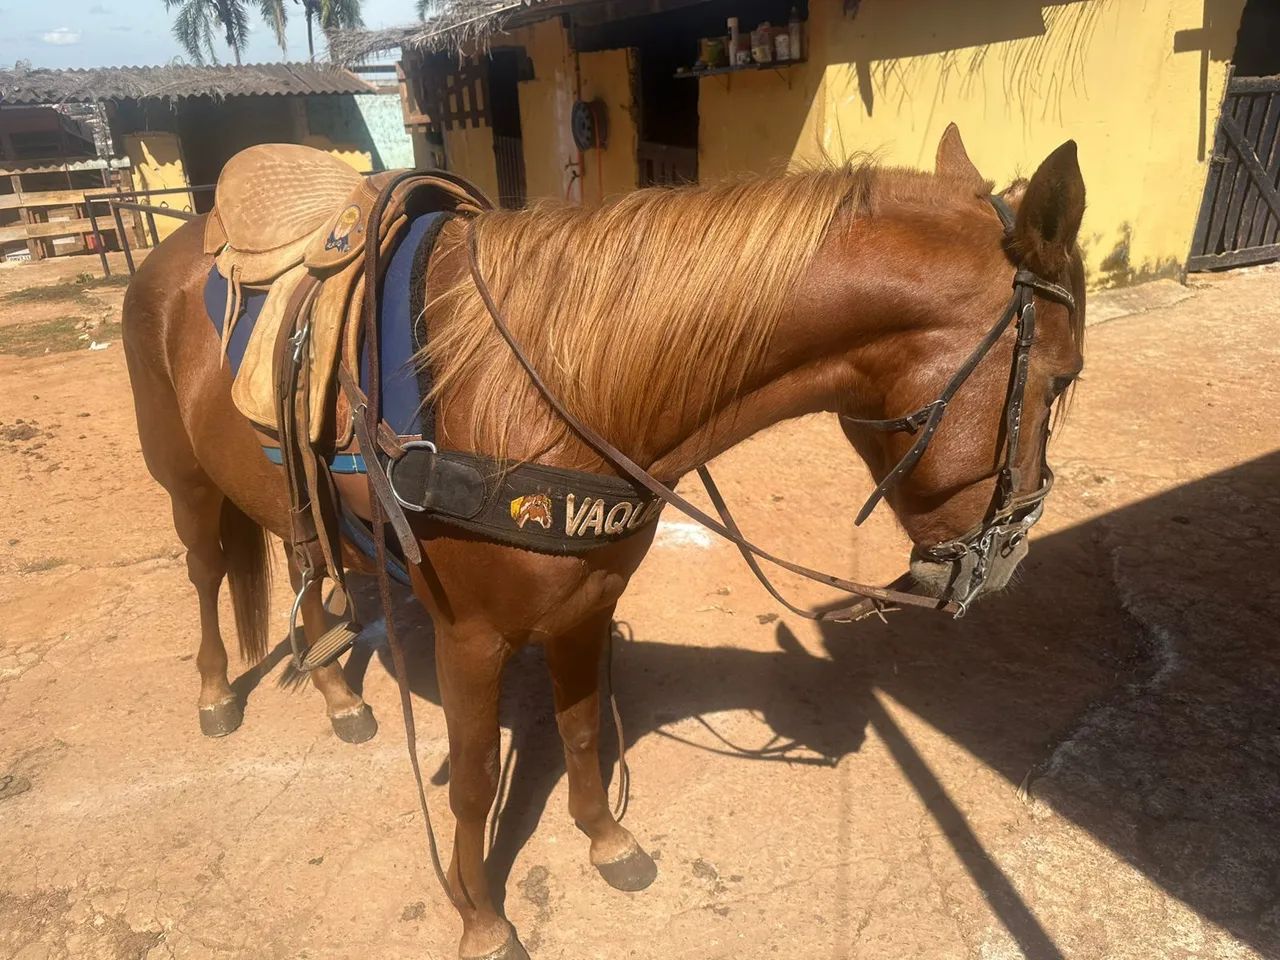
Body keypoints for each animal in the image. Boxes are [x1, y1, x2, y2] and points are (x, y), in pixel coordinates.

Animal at [121, 123, 1085, 960]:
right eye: (1062, 377)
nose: (1011, 554)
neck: (542, 392)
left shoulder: (586, 606)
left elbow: (583, 729)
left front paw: (606, 840)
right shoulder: (468, 637)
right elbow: (474, 780)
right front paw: (481, 919)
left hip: (284, 493)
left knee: (303, 562)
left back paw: (337, 694)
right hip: (187, 486)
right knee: (206, 573)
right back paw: (217, 694)